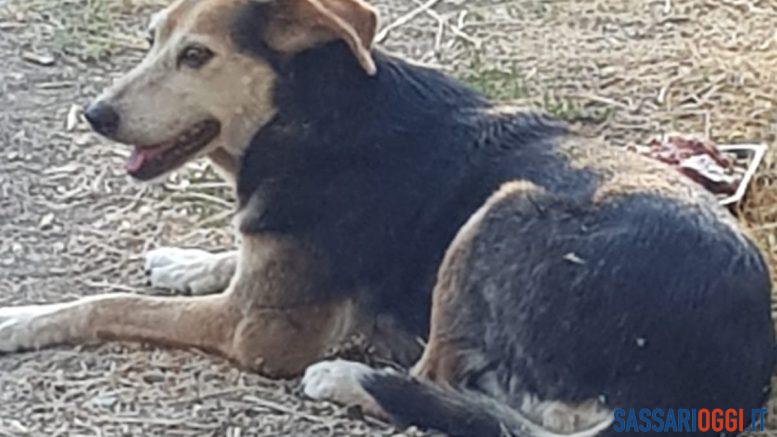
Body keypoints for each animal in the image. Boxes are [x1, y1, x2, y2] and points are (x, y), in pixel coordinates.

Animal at [0, 0, 773, 435]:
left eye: (196, 56)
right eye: (152, 40)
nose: (95, 115)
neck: (311, 108)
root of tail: (722, 378)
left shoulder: (257, 329)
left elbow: (107, 303)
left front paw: (20, 318)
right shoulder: (263, 268)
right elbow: (228, 252)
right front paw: (183, 260)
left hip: (502, 208)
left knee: (438, 381)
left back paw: (348, 378)